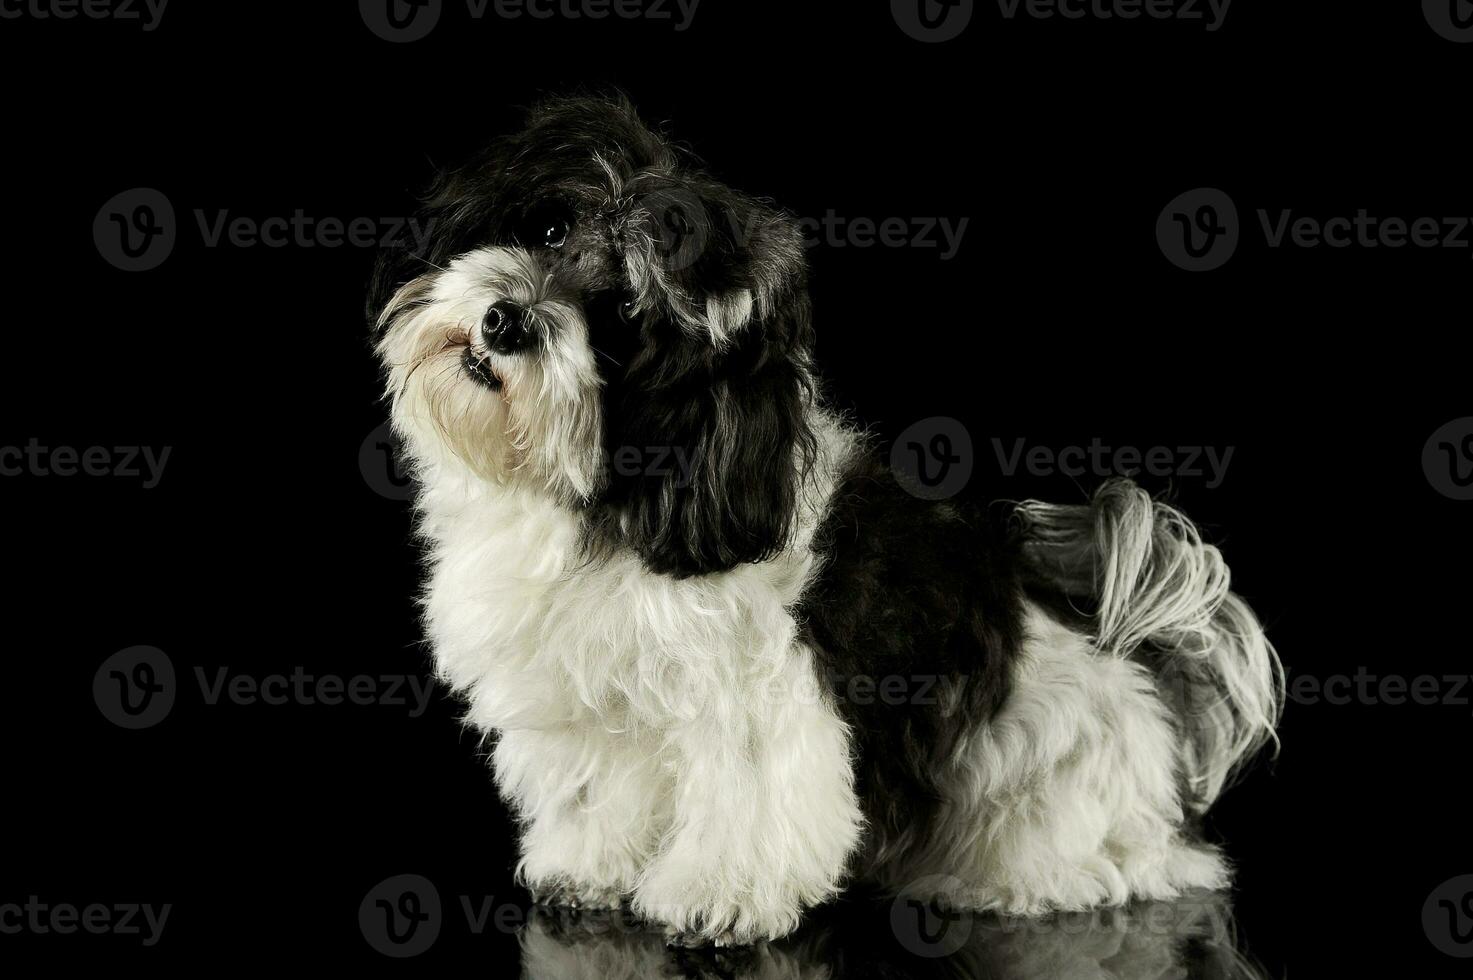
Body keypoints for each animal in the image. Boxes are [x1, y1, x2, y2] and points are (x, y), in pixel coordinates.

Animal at [371, 93, 1290, 949]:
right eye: (552, 227)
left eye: (625, 320)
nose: (507, 319)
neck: (617, 497)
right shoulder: (589, 702)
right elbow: (595, 787)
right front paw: (585, 867)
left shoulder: (757, 699)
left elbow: (747, 801)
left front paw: (714, 899)